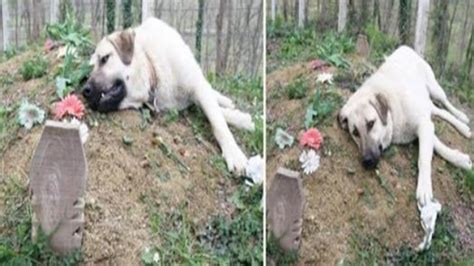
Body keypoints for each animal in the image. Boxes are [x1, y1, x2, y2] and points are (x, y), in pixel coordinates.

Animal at [80, 17, 256, 174]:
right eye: (89, 72)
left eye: (105, 58)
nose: (84, 91)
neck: (153, 69)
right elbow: (214, 113)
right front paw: (243, 119)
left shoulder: (196, 87)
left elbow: (217, 121)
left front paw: (235, 153)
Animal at [338, 45, 472, 249]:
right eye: (355, 132)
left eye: (371, 123)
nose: (367, 162)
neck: (393, 112)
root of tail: (405, 48)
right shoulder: (425, 126)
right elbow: (437, 146)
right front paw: (460, 158)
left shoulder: (423, 125)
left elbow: (424, 159)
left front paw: (424, 188)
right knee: (437, 110)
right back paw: (463, 127)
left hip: (434, 88)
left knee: (445, 104)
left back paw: (462, 119)